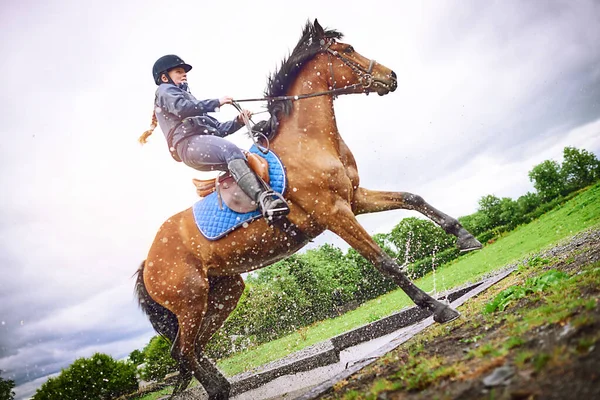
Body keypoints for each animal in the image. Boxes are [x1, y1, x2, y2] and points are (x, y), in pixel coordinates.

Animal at [135, 19, 482, 400]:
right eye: (347, 50)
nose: (391, 76)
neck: (308, 141)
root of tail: (148, 261)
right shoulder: (334, 212)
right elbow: (384, 262)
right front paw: (439, 309)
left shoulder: (355, 199)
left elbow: (412, 198)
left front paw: (465, 237)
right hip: (191, 301)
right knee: (184, 350)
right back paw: (217, 389)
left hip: (223, 293)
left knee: (190, 348)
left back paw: (222, 387)